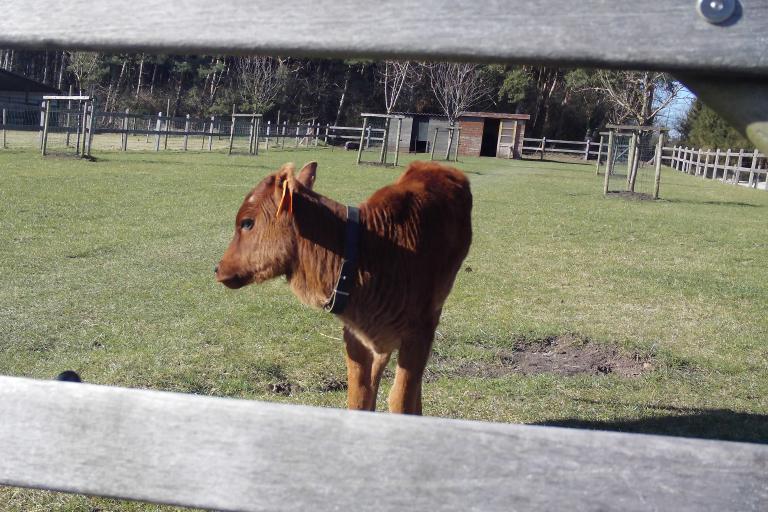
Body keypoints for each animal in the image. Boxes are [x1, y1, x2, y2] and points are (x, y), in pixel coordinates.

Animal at [213, 162, 472, 414]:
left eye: (247, 223)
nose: (218, 268)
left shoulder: (419, 333)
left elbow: (401, 401)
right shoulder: (354, 336)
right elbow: (359, 397)